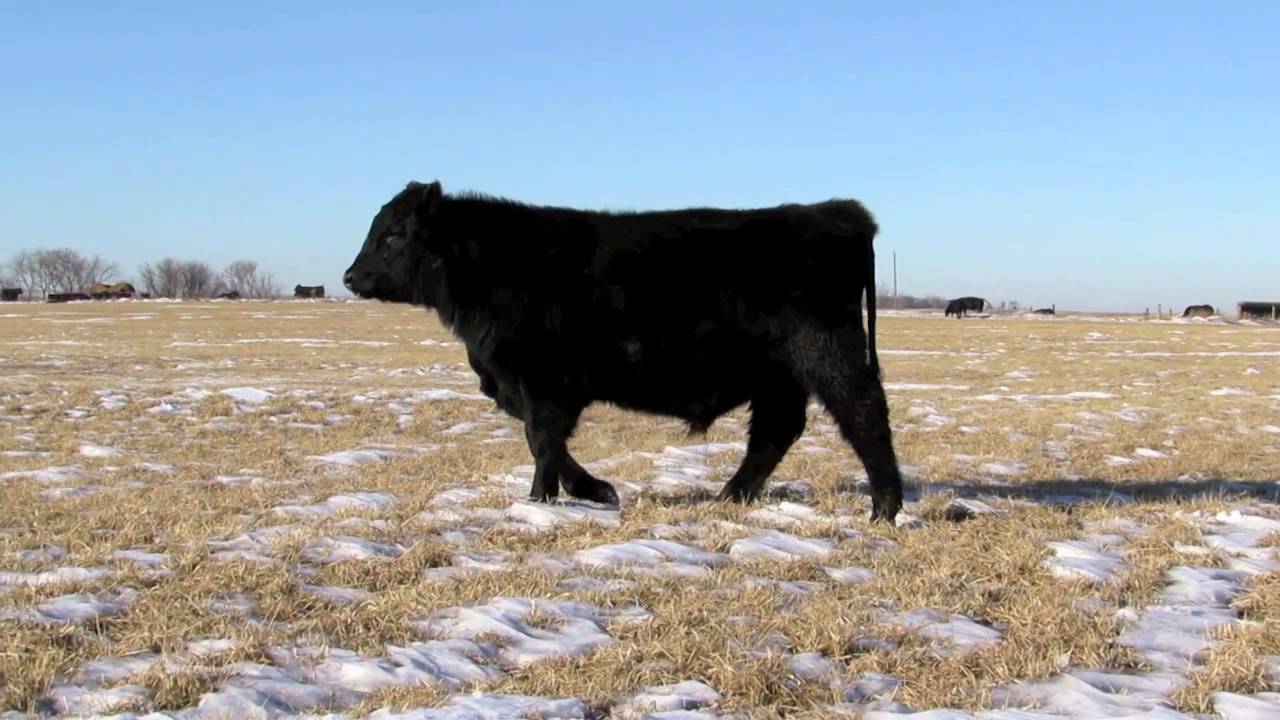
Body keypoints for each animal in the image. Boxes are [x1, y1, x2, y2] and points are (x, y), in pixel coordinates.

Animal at [344, 181, 905, 523]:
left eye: (393, 234)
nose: (349, 277)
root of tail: (841, 212)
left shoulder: (543, 382)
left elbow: (542, 441)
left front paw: (543, 500)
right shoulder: (529, 386)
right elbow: (547, 442)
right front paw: (590, 490)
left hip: (828, 353)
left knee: (863, 414)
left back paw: (885, 507)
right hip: (777, 375)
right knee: (775, 431)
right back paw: (729, 496)